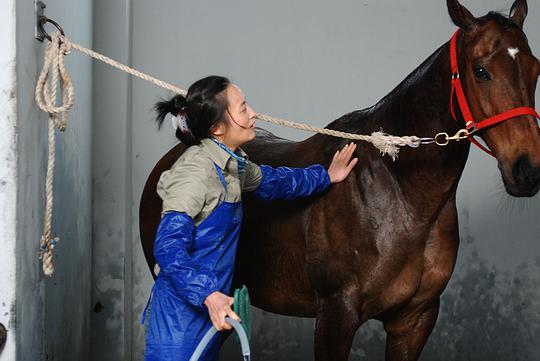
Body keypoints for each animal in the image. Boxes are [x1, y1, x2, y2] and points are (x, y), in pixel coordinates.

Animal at [139, 1, 540, 358]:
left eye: (535, 70)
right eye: (481, 70)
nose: (528, 170)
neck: (398, 189)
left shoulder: (415, 319)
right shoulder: (336, 315)